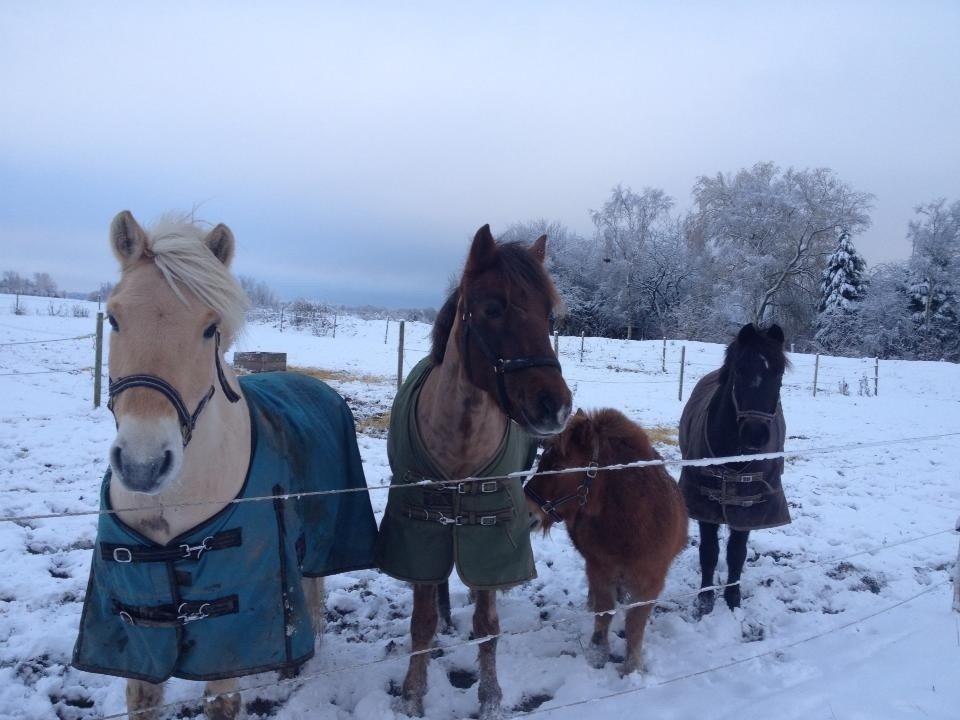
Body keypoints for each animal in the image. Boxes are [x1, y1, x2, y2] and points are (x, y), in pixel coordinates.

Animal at [73, 214, 378, 720]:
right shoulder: (134, 627)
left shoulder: (232, 631)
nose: (142, 464)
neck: (174, 502)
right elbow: (142, 700)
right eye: (114, 317)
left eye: (209, 327)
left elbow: (223, 701)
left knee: (309, 589)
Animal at [376, 226, 568, 720]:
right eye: (493, 308)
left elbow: (488, 622)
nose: (556, 407)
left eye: (549, 315)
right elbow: (421, 622)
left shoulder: (492, 538)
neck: (460, 444)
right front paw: (412, 694)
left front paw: (491, 695)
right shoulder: (419, 532)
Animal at [520, 410, 688, 676]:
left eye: (557, 467)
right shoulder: (599, 569)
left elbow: (635, 623)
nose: (526, 513)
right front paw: (597, 653)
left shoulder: (650, 583)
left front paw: (631, 666)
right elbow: (604, 610)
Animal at [676, 324, 788, 616]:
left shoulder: (748, 505)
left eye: (779, 373)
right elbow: (709, 551)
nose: (755, 434)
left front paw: (733, 597)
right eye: (740, 370)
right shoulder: (704, 503)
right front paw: (705, 599)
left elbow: (737, 552)